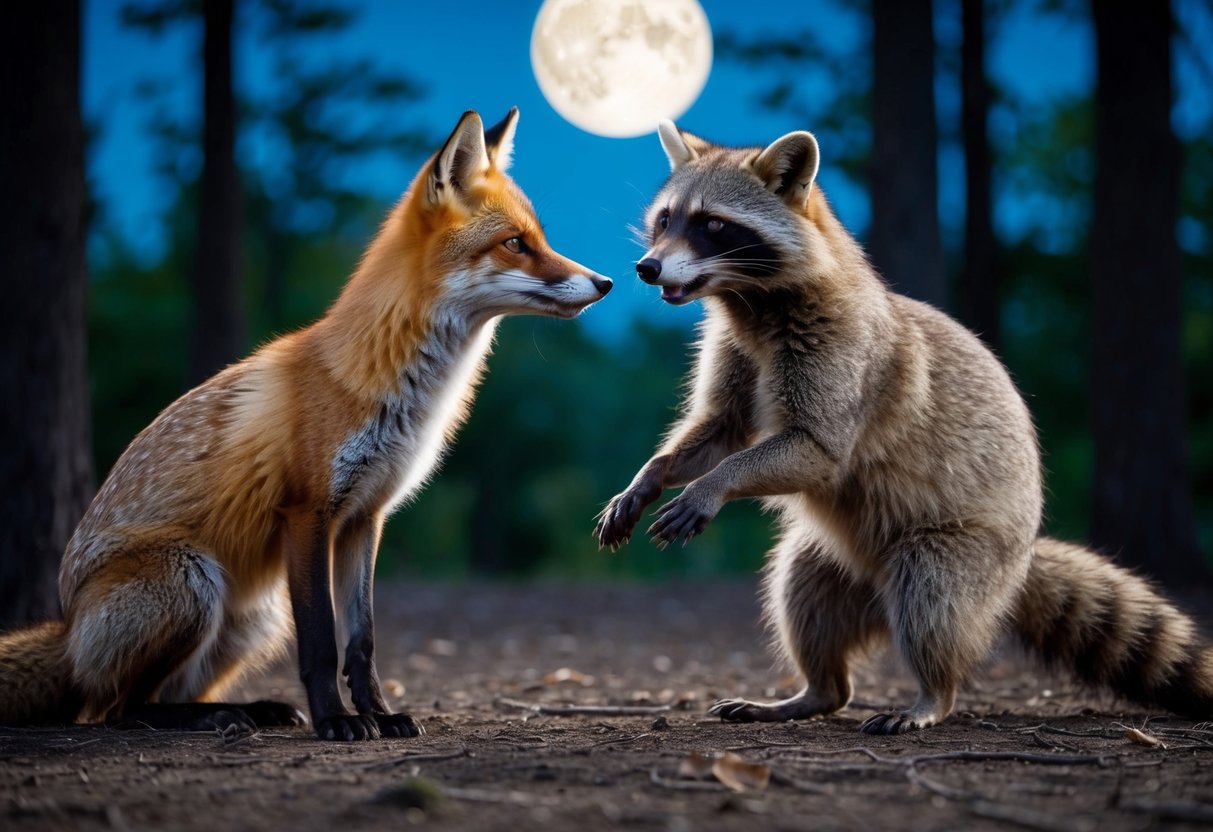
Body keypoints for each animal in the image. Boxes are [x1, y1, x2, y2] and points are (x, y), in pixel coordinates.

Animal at [0, 108, 612, 740]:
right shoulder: (307, 511)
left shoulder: (366, 517)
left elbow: (362, 642)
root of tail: (68, 627)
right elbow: (321, 642)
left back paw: (251, 709)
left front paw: (380, 715)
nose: (606, 283)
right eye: (516, 243)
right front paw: (337, 722)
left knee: (158, 693)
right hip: (193, 580)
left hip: (255, 617)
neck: (396, 391)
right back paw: (218, 717)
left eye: (541, 239)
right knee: (117, 709)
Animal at [595, 120, 1213, 734]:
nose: (647, 267)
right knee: (801, 597)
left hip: (966, 549)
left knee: (931, 601)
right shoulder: (737, 351)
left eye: (714, 225)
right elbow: (717, 430)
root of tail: (1023, 560)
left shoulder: (844, 351)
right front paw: (651, 476)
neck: (748, 301)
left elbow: (816, 450)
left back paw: (933, 694)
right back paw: (814, 691)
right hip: (831, 561)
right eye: (666, 219)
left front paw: (714, 483)